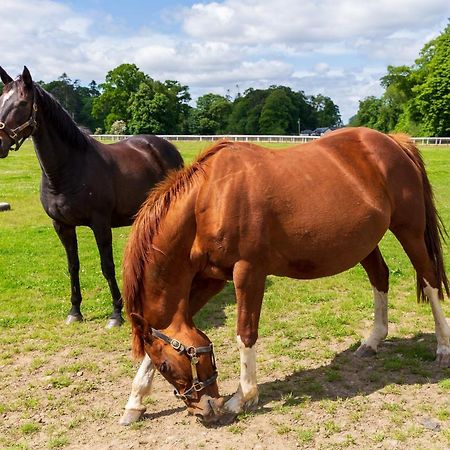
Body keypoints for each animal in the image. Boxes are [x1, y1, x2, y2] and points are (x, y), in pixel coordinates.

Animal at [0, 67, 184, 326]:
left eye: (23, 103)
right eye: (0, 101)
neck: (68, 169)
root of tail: (166, 147)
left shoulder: (100, 224)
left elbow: (107, 266)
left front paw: (116, 313)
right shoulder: (62, 226)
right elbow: (73, 266)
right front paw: (74, 311)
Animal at [120, 127, 450, 426]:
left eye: (167, 366)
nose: (205, 410)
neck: (209, 200)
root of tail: (393, 141)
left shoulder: (248, 271)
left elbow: (245, 333)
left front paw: (243, 398)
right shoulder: (212, 277)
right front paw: (134, 403)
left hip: (410, 231)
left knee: (430, 281)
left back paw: (442, 347)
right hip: (365, 243)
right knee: (380, 277)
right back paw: (372, 341)